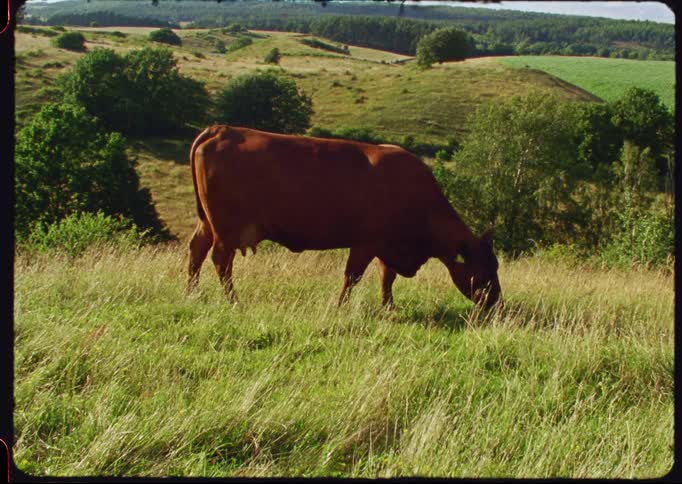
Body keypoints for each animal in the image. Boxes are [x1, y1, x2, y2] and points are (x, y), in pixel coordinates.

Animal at [187, 125, 501, 308]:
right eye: (484, 268)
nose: (496, 301)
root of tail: (222, 129)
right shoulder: (366, 243)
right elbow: (353, 276)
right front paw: (341, 306)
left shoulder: (386, 246)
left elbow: (386, 277)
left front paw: (389, 306)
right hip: (226, 228)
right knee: (221, 260)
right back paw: (233, 301)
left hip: (207, 223)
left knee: (196, 250)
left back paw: (192, 293)